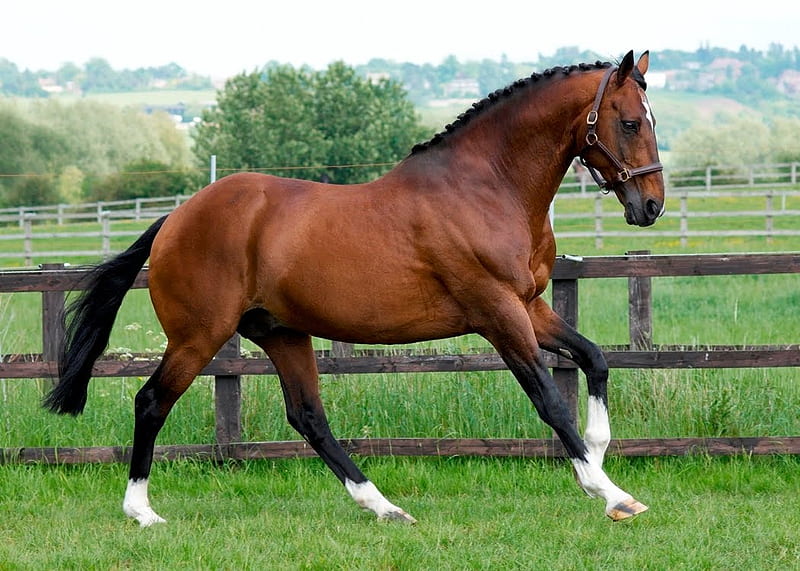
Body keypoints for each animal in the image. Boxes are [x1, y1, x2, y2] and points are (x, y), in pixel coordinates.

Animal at [44, 50, 664, 526]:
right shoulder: (497, 313)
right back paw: (141, 512)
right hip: (199, 336)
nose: (651, 205)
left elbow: (595, 358)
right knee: (151, 402)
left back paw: (384, 507)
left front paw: (601, 453)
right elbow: (549, 399)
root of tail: (176, 218)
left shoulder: (529, 307)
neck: (486, 187)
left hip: (281, 332)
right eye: (631, 122)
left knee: (309, 417)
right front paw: (611, 494)